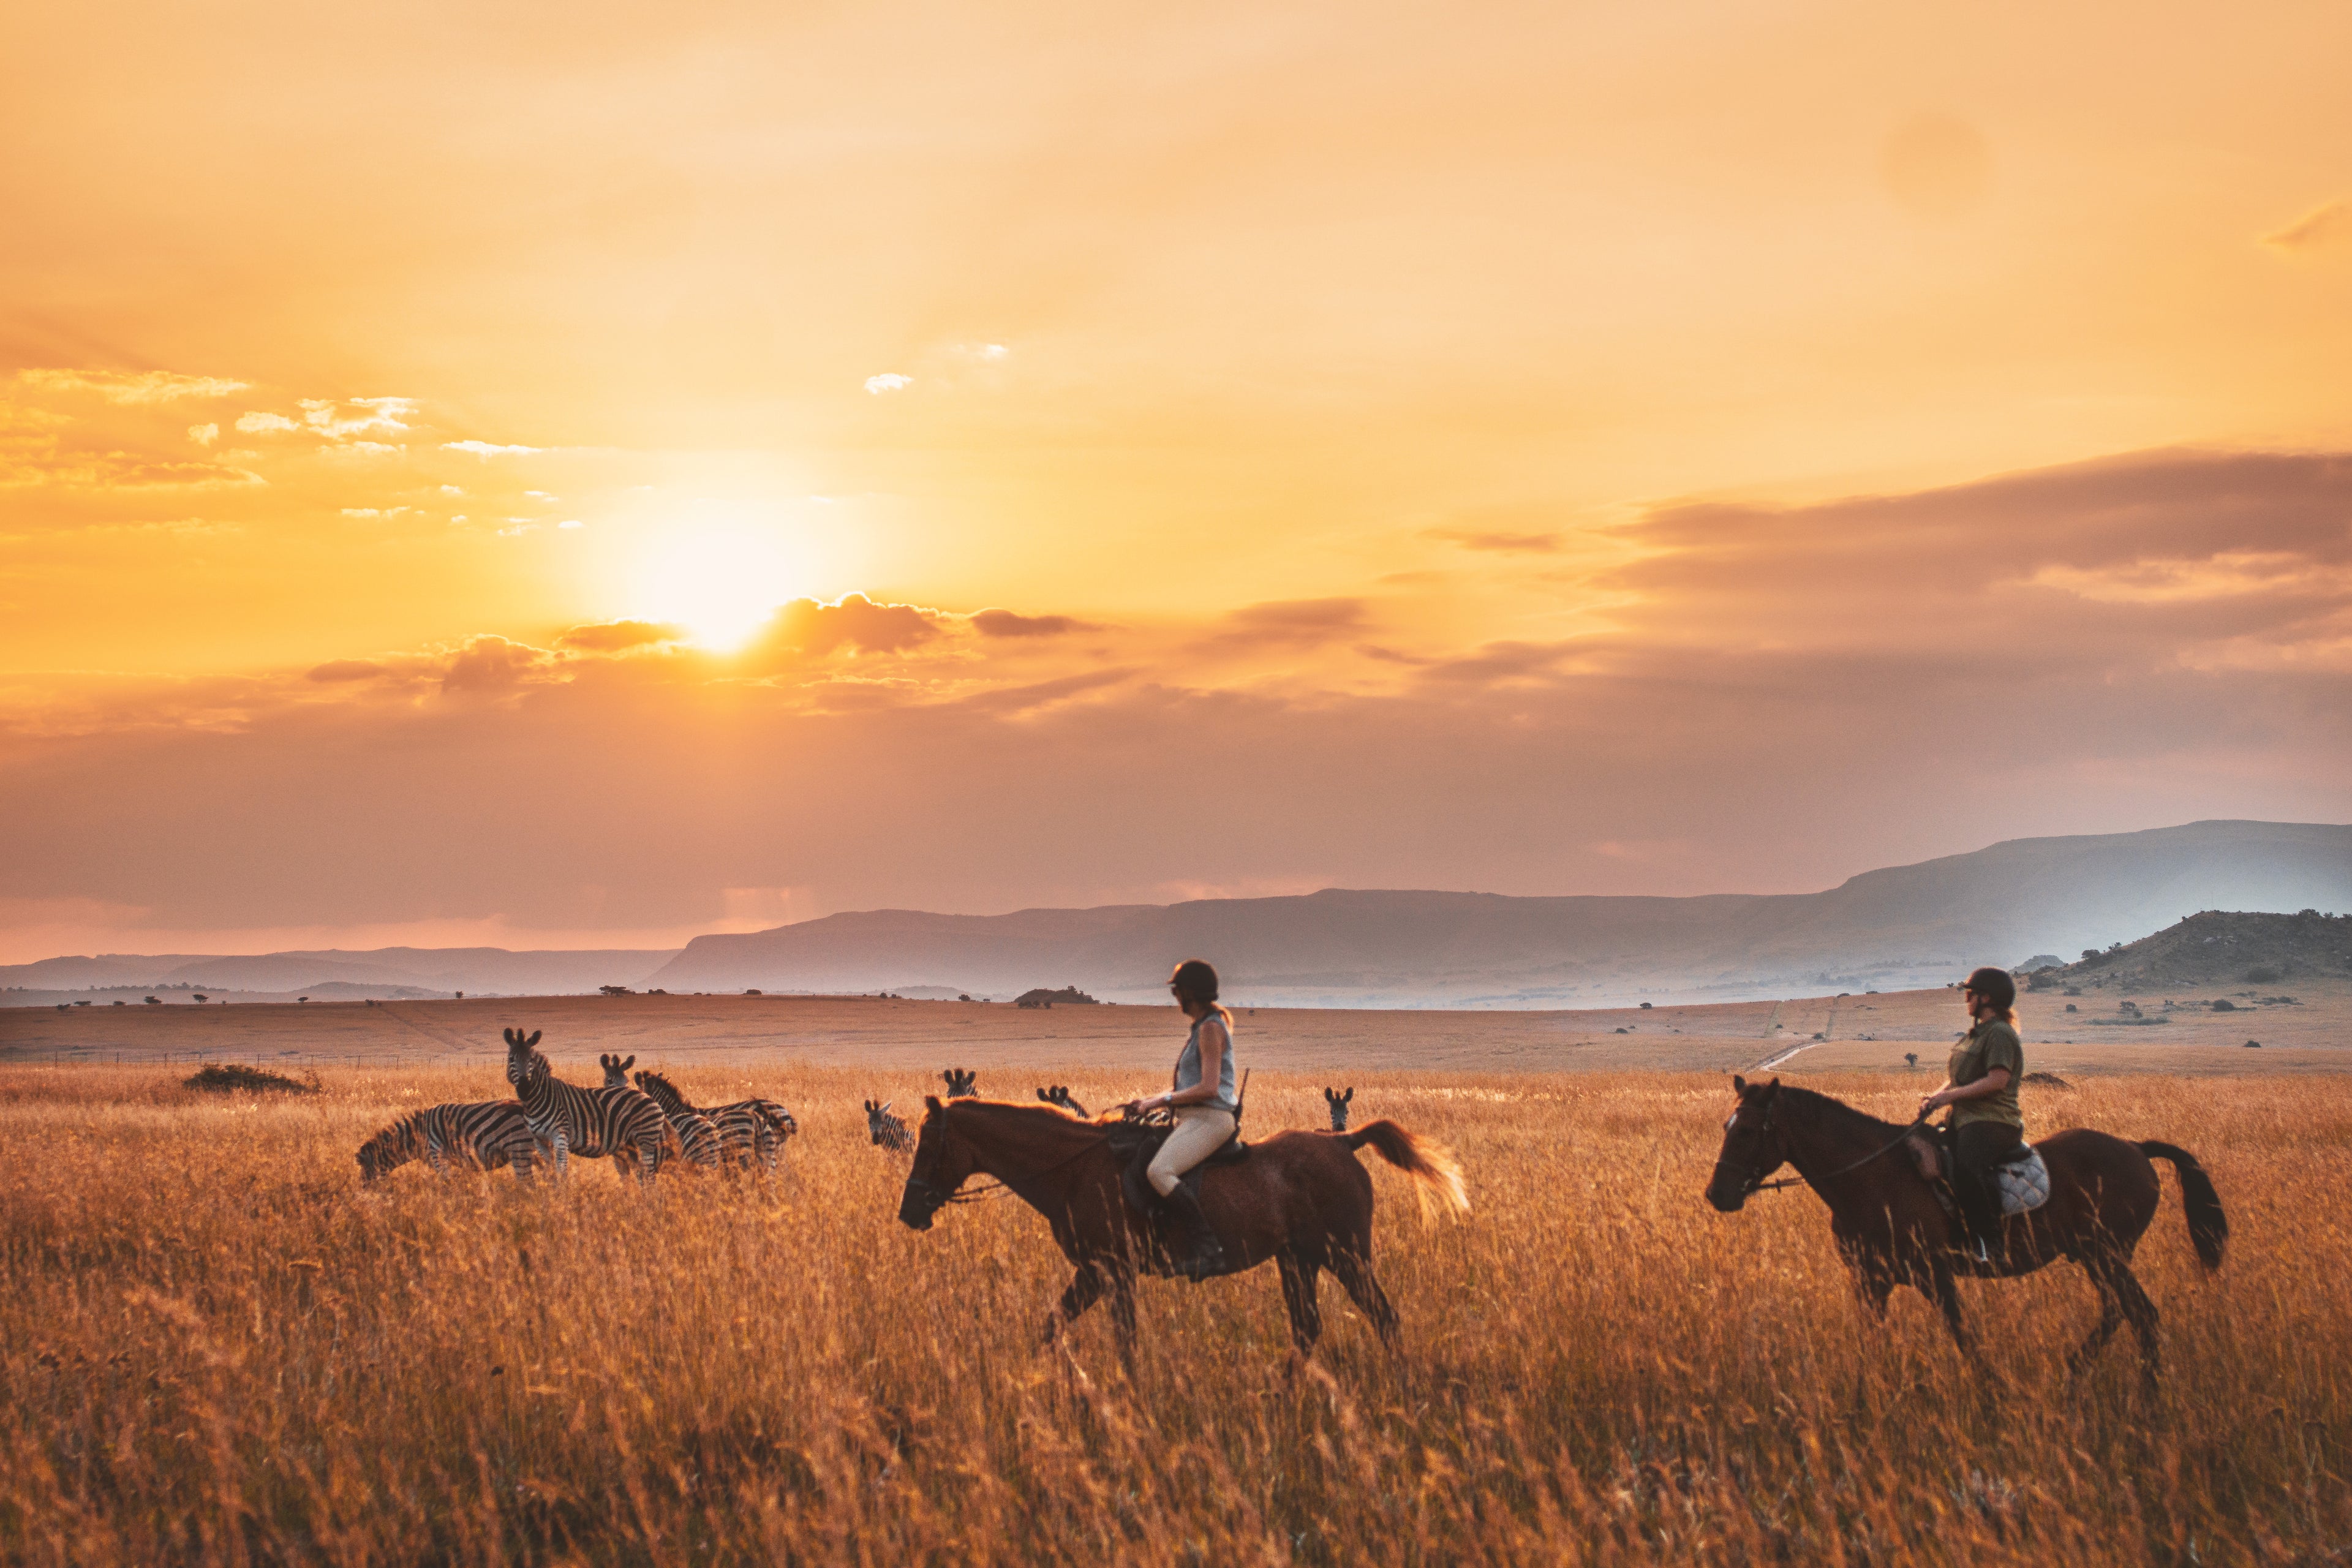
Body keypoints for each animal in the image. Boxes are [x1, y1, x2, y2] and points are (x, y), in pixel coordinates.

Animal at [897, 1096, 1467, 1367]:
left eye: (928, 1145)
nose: (908, 1213)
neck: (1073, 1169)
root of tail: (1344, 1142)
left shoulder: (1113, 1271)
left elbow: (1123, 1342)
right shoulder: (1094, 1273)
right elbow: (1051, 1328)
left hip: (1344, 1256)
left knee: (1384, 1318)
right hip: (1298, 1258)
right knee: (1307, 1329)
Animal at [1705, 1075, 2227, 1390]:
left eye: (1748, 1130)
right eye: (1726, 1126)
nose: (1717, 1194)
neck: (1872, 1176)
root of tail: (2136, 1148)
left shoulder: (1935, 1277)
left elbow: (1964, 1337)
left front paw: (1992, 1391)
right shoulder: (1871, 1279)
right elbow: (1870, 1342)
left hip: (2107, 1254)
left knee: (2142, 1315)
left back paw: (2144, 1398)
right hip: (2097, 1256)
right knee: (2122, 1311)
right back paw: (2078, 1373)